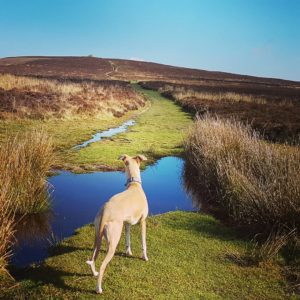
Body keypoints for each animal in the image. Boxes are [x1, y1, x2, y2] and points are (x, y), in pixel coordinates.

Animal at [86, 155, 148, 292]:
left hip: (97, 236)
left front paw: (129, 252)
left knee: (92, 258)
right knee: (103, 265)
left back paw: (94, 273)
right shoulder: (143, 222)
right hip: (113, 242)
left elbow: (128, 240)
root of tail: (105, 211)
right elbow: (143, 243)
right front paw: (145, 257)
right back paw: (98, 288)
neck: (134, 185)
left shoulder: (127, 224)